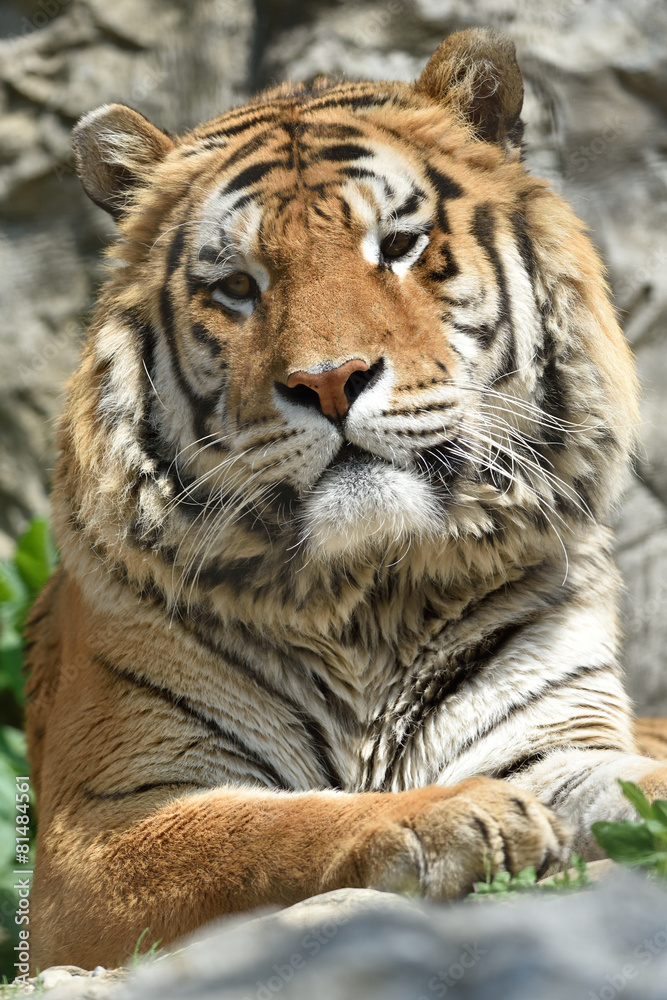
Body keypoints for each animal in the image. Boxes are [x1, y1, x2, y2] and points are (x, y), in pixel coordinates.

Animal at [24, 26, 667, 972]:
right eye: (238, 286)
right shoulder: (102, 826)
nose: (329, 381)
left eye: (397, 245)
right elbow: (265, 830)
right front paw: (457, 817)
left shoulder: (555, 743)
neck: (370, 595)